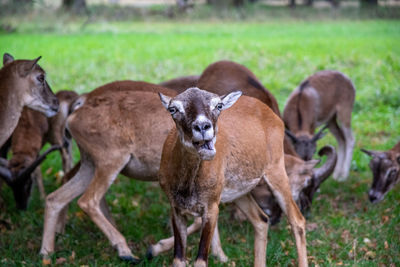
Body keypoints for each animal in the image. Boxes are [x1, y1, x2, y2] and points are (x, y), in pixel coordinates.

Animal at [156, 88, 306, 267]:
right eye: (173, 109)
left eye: (218, 105)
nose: (202, 126)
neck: (187, 185)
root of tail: (272, 114)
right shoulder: (176, 209)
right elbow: (178, 260)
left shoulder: (212, 207)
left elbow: (201, 261)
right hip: (240, 193)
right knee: (261, 220)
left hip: (276, 171)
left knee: (297, 220)